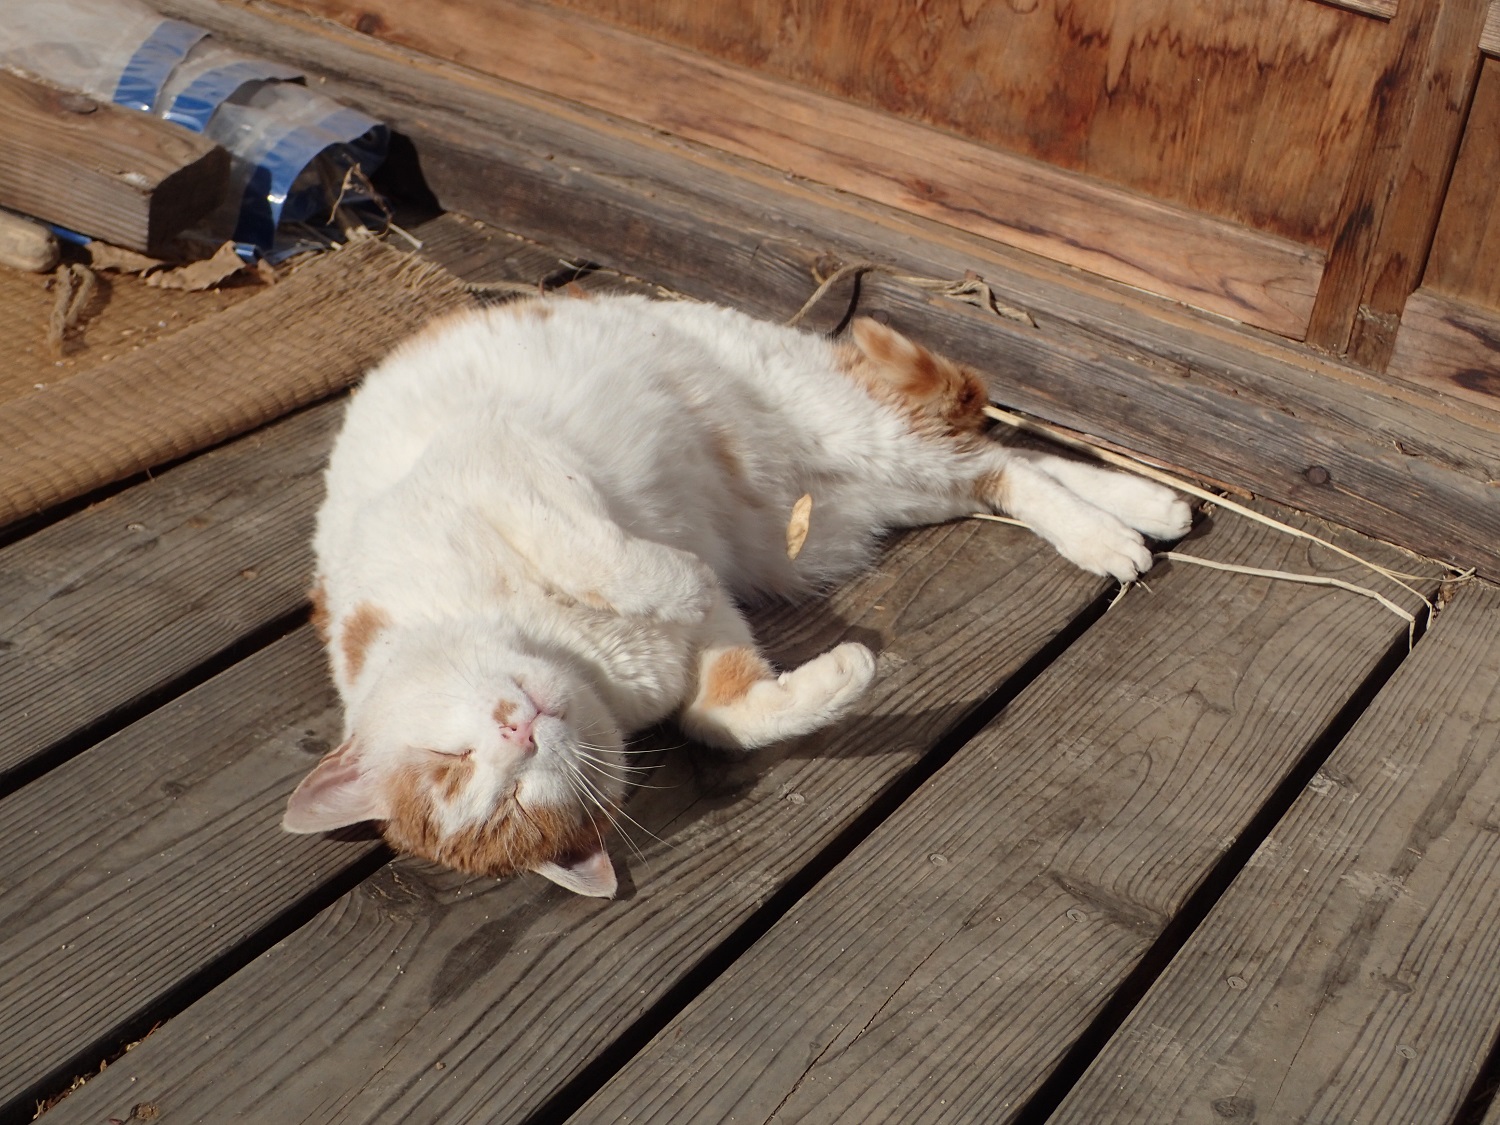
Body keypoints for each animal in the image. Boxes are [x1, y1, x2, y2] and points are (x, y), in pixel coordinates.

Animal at [283, 293, 1191, 897]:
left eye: (453, 760)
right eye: (506, 792)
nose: (521, 728)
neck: (576, 653)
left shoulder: (502, 464)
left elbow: (617, 559)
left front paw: (672, 575)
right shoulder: (702, 649)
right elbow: (727, 714)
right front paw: (842, 676)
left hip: (852, 435)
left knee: (996, 456)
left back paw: (1122, 525)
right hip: (853, 511)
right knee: (998, 470)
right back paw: (1139, 513)